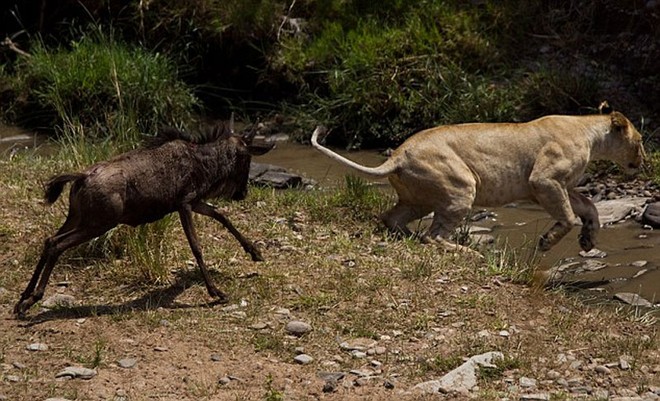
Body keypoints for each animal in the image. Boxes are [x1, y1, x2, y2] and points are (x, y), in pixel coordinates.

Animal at [15, 123, 274, 318]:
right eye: (246, 160)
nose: (242, 193)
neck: (205, 162)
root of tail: (80, 178)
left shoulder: (195, 201)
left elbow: (222, 216)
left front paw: (255, 252)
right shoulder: (184, 203)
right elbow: (196, 246)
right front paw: (215, 292)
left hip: (78, 219)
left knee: (49, 240)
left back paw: (22, 300)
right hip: (98, 223)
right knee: (57, 244)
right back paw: (32, 300)